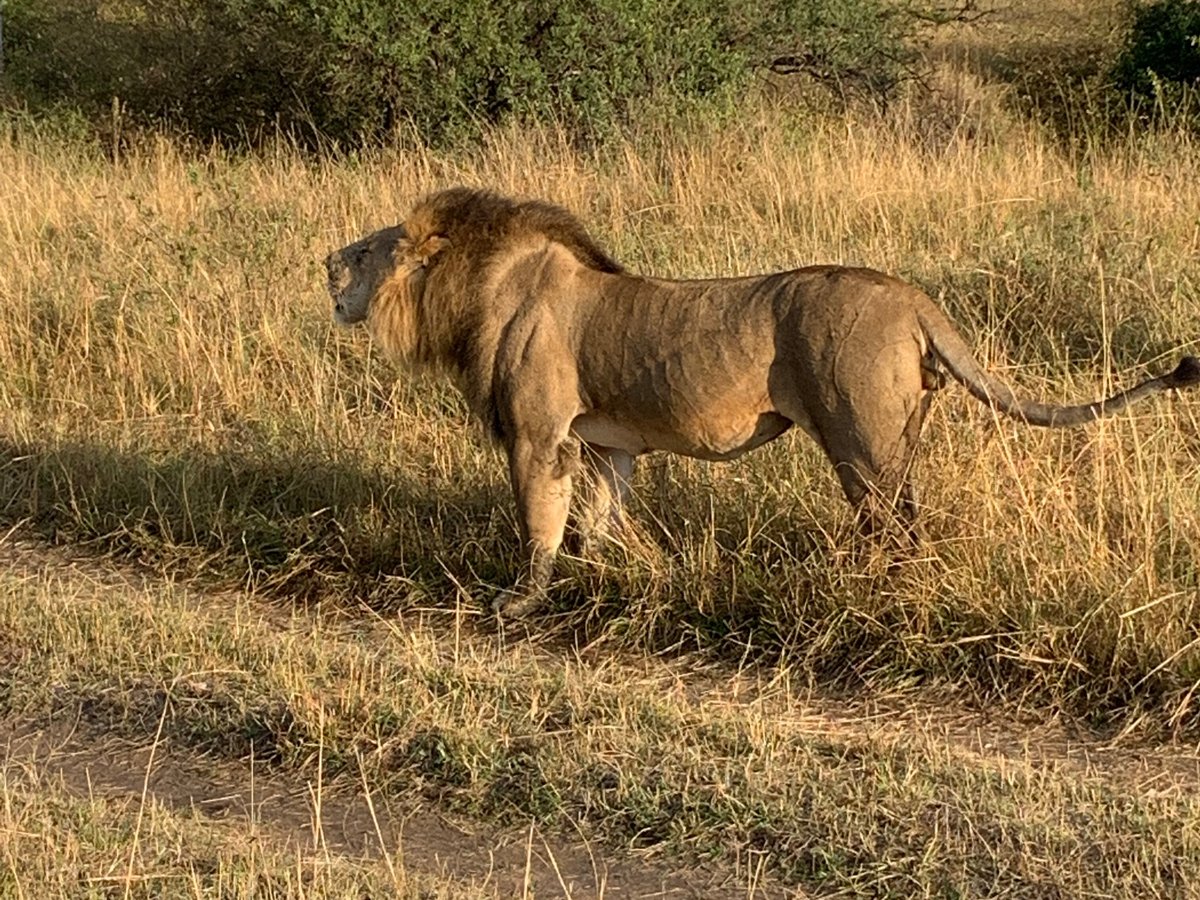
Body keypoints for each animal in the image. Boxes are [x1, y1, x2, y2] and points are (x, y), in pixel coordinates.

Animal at [328, 184, 1200, 619]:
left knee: (895, 528)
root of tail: (913, 298)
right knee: (910, 520)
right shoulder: (605, 442)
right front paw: (606, 576)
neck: (475, 290)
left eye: (367, 251)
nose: (324, 263)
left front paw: (519, 601)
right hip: (900, 434)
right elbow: (596, 517)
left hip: (860, 438)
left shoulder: (538, 434)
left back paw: (881, 599)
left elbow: (539, 520)